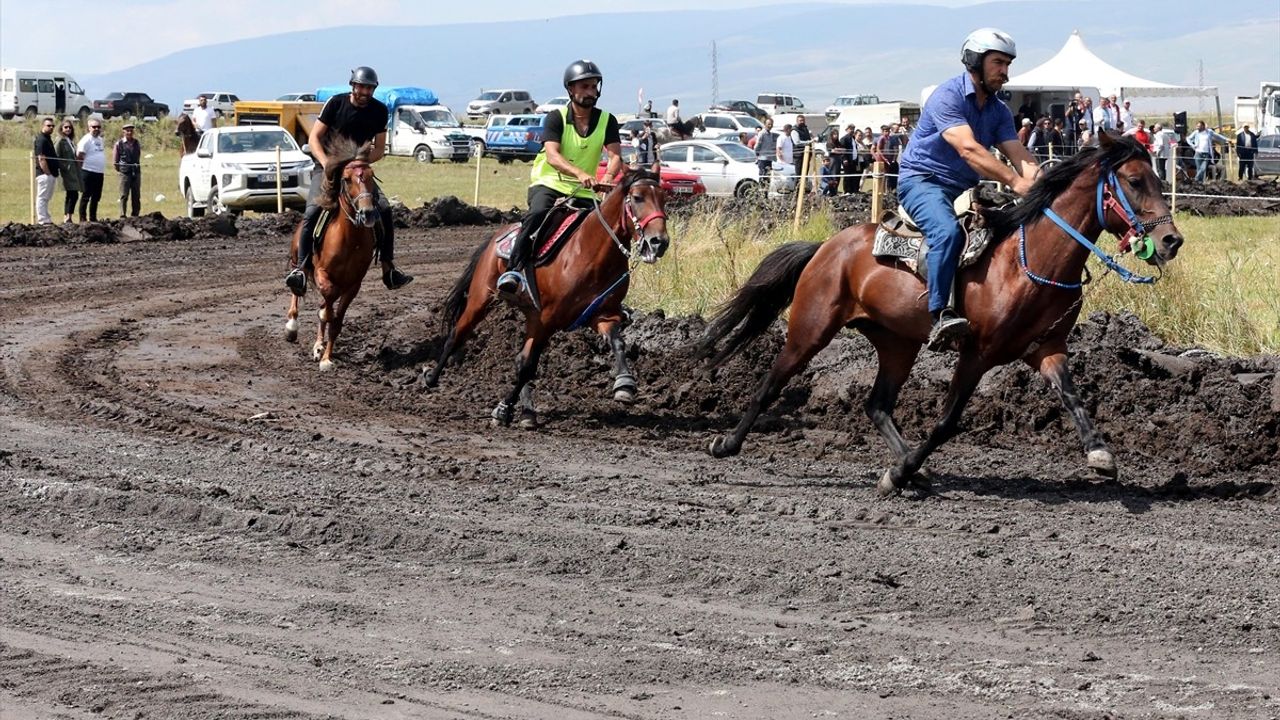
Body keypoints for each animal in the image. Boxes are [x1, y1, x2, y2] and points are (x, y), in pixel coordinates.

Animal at [284, 137, 376, 368]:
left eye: (371, 176)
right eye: (347, 179)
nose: (368, 213)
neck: (350, 239)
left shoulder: (353, 285)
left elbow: (335, 320)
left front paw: (326, 357)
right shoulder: (322, 273)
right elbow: (327, 299)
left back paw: (319, 345)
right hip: (296, 262)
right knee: (296, 290)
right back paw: (292, 326)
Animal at [427, 167, 675, 425]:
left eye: (663, 198)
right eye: (637, 198)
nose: (659, 242)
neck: (591, 253)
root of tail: (499, 235)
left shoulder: (602, 314)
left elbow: (617, 341)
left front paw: (625, 384)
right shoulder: (546, 320)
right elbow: (528, 366)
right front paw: (503, 409)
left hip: (529, 315)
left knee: (518, 357)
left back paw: (527, 411)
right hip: (481, 299)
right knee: (457, 335)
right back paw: (431, 378)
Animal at [696, 133, 1182, 491]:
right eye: (1134, 180)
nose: (1172, 241)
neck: (1030, 262)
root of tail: (827, 247)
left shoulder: (1046, 348)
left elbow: (1072, 396)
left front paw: (1101, 454)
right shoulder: (977, 354)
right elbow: (948, 422)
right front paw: (897, 473)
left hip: (898, 343)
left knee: (877, 405)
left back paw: (915, 469)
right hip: (811, 328)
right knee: (770, 384)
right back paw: (727, 444)